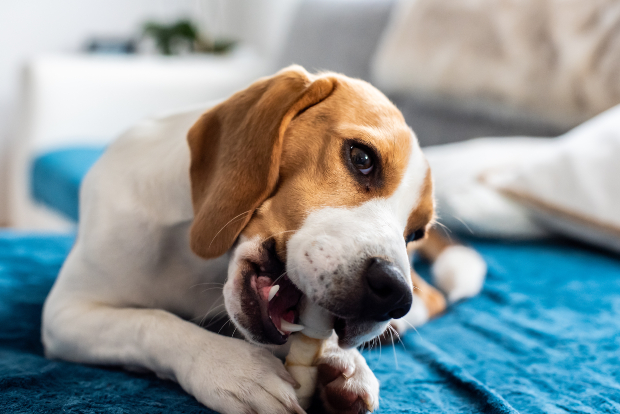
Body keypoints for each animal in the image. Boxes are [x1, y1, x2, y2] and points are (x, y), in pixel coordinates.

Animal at [41, 66, 486, 412]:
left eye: (414, 233)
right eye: (362, 158)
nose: (393, 294)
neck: (200, 263)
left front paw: (345, 361)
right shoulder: (66, 314)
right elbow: (151, 322)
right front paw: (232, 368)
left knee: (434, 298)